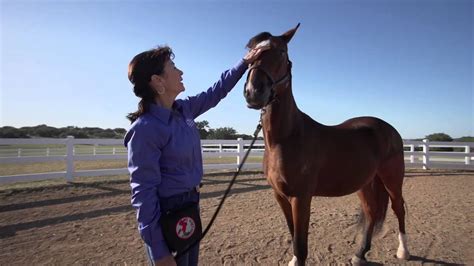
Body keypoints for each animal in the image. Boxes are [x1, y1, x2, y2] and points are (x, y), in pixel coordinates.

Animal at [243, 23, 410, 264]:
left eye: (282, 52)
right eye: (250, 53)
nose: (254, 92)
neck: (286, 138)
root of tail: (389, 129)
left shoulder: (301, 198)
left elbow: (301, 244)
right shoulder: (281, 197)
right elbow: (293, 234)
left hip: (392, 180)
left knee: (399, 209)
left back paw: (403, 251)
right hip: (365, 183)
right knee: (371, 212)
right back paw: (360, 254)